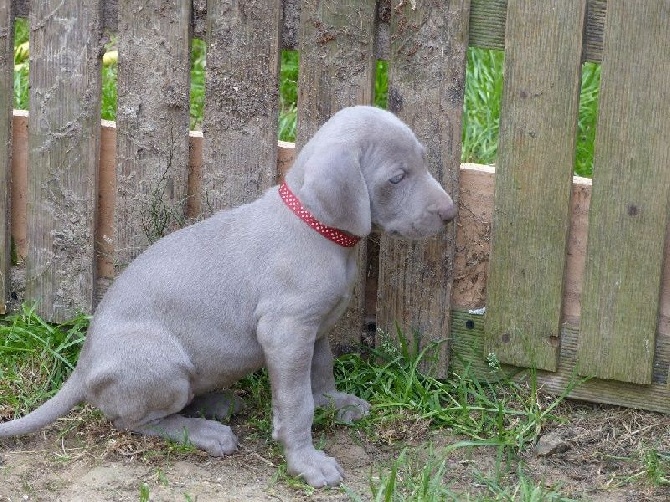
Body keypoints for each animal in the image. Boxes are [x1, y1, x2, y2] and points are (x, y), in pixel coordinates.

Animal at [0, 105, 456, 486]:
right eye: (396, 178)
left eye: (423, 160)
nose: (451, 213)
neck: (317, 228)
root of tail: (83, 365)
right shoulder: (286, 332)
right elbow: (297, 403)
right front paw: (307, 462)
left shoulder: (317, 328)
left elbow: (321, 372)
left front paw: (334, 403)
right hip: (163, 365)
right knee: (131, 420)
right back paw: (203, 431)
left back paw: (215, 404)